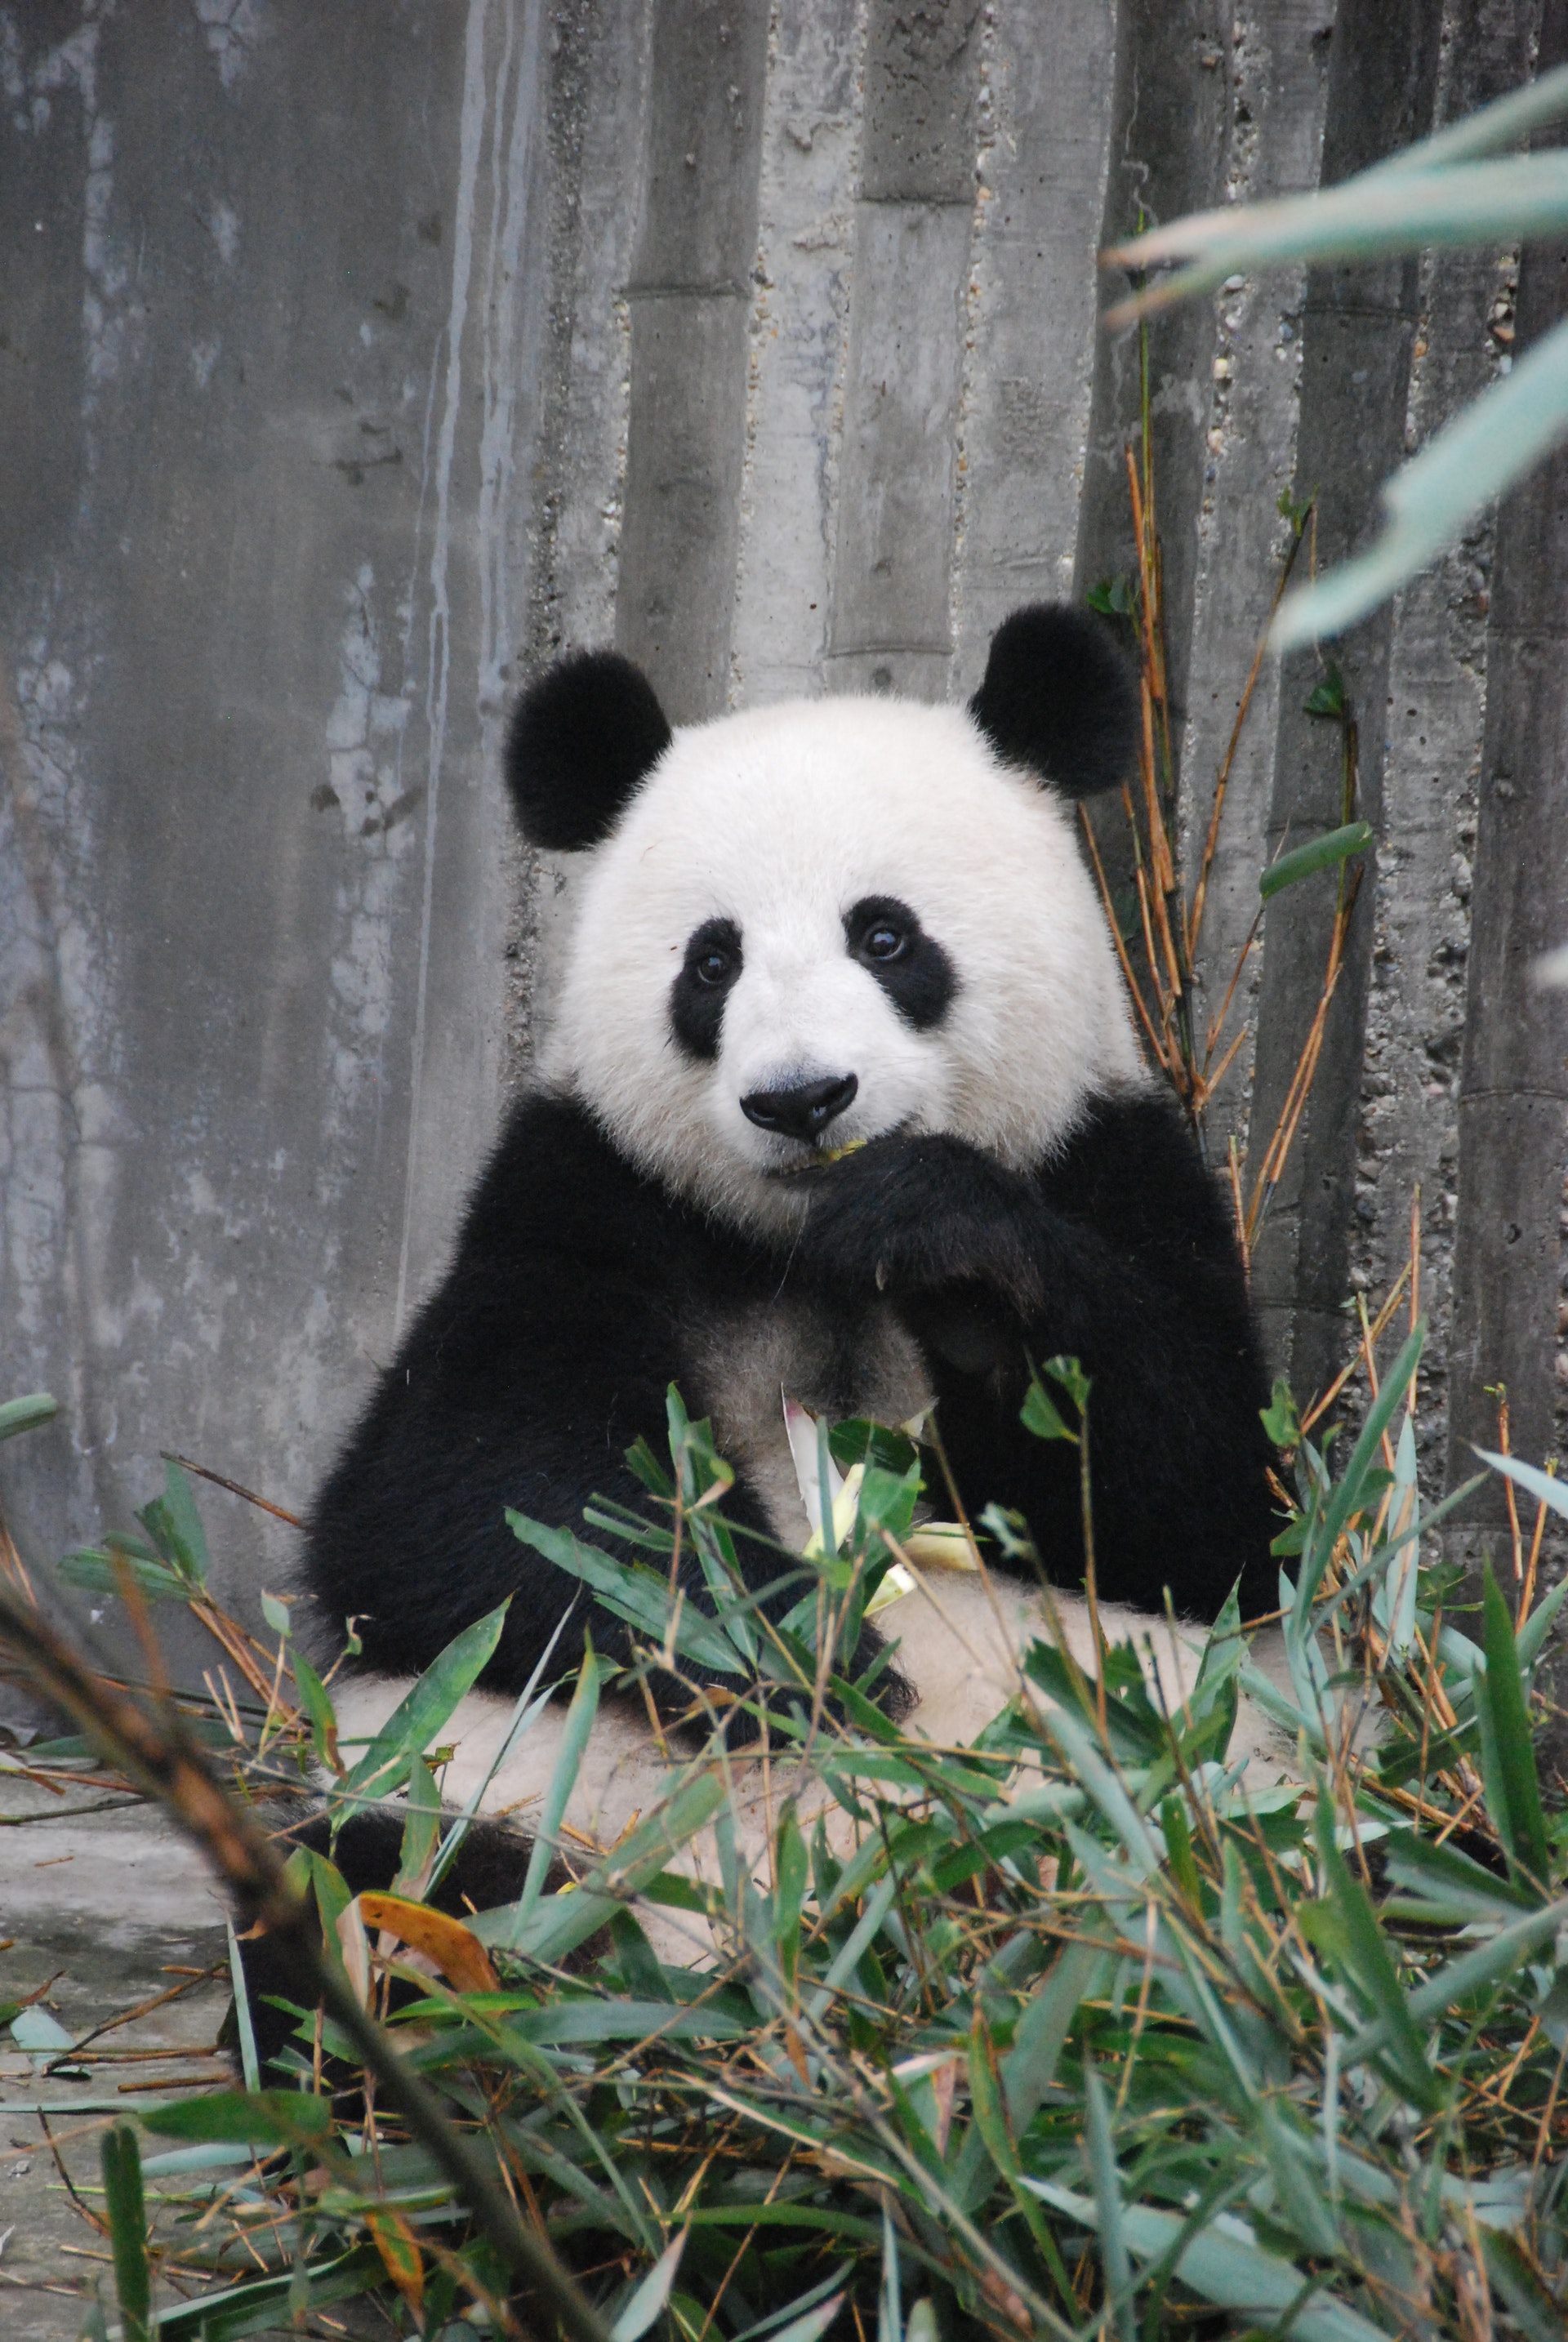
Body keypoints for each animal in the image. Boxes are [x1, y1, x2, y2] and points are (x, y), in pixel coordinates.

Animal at [305, 605, 1283, 1896]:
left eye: (886, 935)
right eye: (711, 963)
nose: (803, 1099)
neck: (802, 1243)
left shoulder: (1107, 1158)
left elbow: (1211, 1509)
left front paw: (946, 1246)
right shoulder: (583, 1195)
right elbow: (462, 1501)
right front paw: (803, 1650)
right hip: (464, 1788)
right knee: (396, 1875)